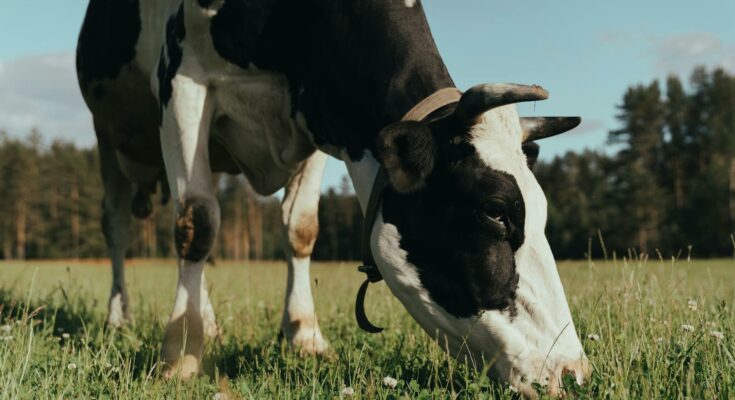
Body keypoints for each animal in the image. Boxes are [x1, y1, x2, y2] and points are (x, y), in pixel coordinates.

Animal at [76, 0, 589, 396]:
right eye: (495, 211)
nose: (572, 371)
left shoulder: (319, 117)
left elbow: (301, 229)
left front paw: (305, 337)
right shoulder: (182, 82)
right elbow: (196, 222)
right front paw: (181, 353)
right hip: (106, 133)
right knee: (120, 226)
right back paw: (121, 317)